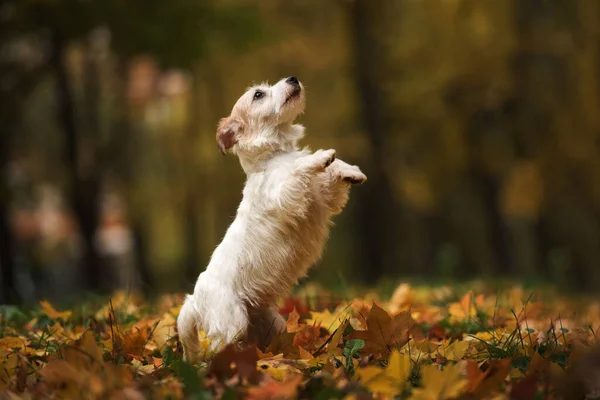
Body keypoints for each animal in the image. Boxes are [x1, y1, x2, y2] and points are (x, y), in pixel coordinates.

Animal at [176, 76, 368, 360]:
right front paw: (320, 156)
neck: (278, 156)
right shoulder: (288, 197)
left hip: (271, 324)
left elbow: (333, 174)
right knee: (218, 348)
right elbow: (302, 167)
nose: (292, 78)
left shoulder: (323, 199)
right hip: (232, 323)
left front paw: (351, 171)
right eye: (258, 95)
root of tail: (194, 301)